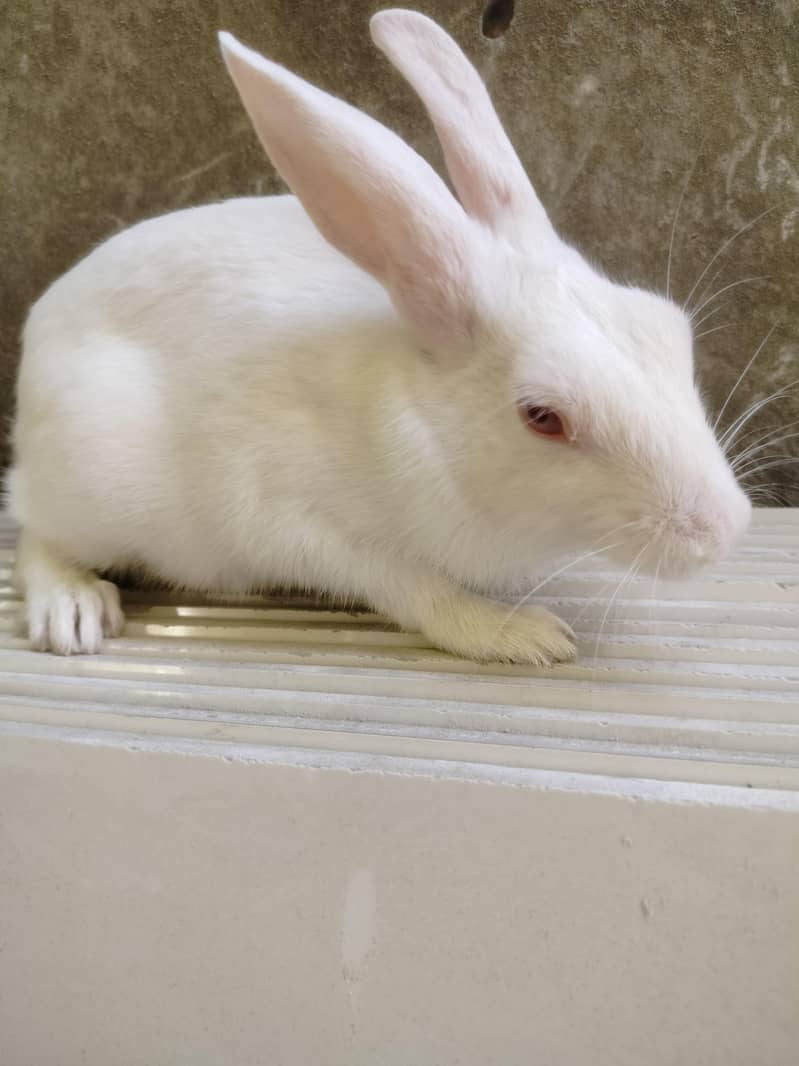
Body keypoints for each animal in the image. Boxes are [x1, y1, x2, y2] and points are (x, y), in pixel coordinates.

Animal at [5, 8, 751, 662]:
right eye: (543, 417)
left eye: (671, 332)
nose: (723, 531)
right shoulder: (301, 522)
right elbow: (420, 593)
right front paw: (524, 635)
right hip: (94, 473)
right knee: (34, 527)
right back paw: (72, 611)